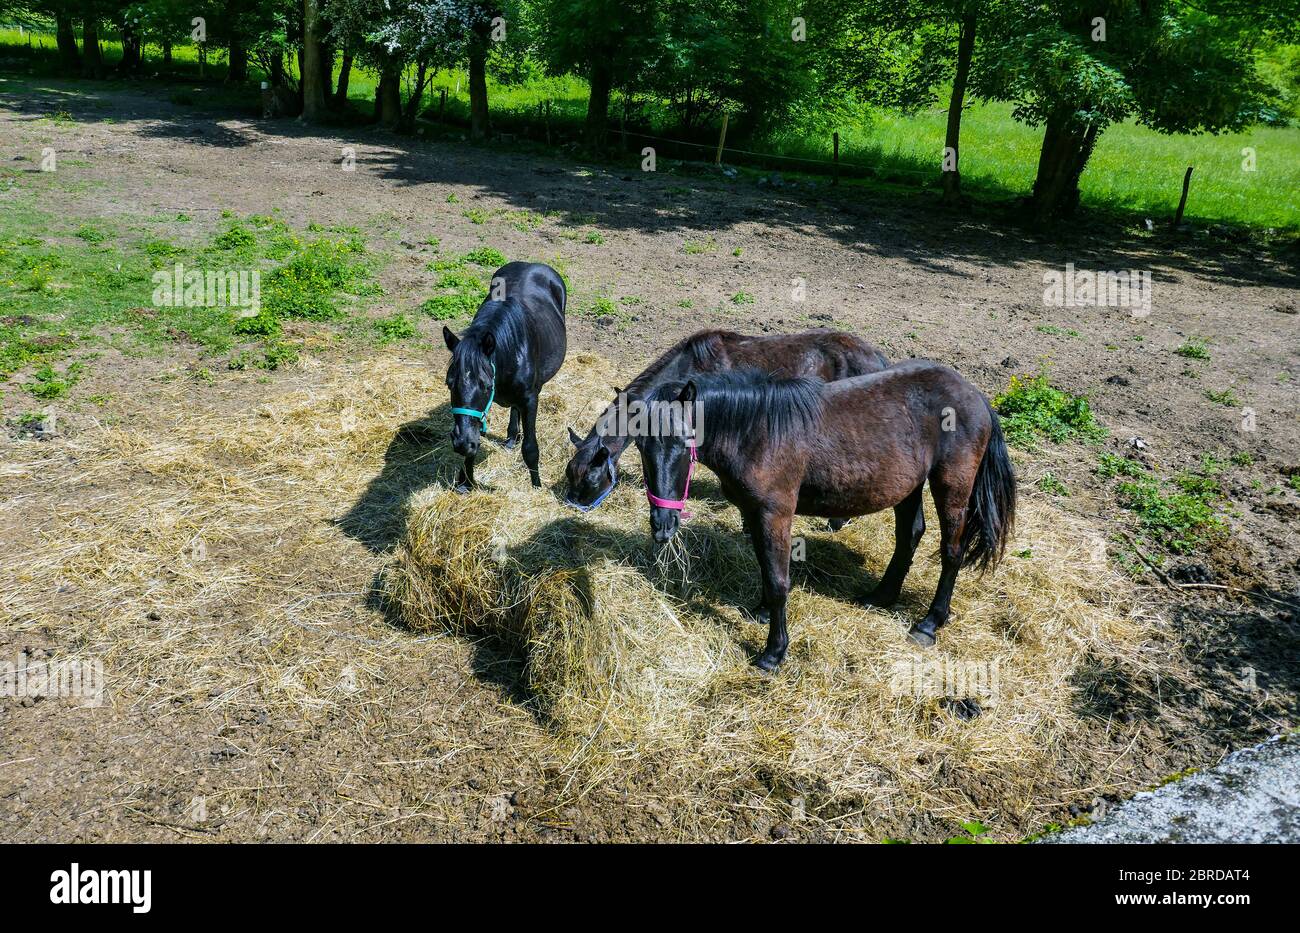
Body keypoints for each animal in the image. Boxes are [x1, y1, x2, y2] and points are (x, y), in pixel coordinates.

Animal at [443, 261, 566, 489]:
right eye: (449, 383)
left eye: (485, 385)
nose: (461, 443)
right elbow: (476, 437)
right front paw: (466, 482)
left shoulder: (530, 400)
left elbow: (530, 448)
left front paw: (536, 485)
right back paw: (511, 437)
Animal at [635, 361, 1016, 671]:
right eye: (641, 445)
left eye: (683, 441)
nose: (663, 526)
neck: (758, 431)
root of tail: (976, 396)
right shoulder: (755, 513)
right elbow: (766, 569)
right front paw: (760, 612)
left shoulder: (775, 514)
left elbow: (778, 581)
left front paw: (773, 653)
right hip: (908, 486)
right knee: (909, 535)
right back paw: (880, 597)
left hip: (952, 484)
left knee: (952, 550)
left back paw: (929, 623)